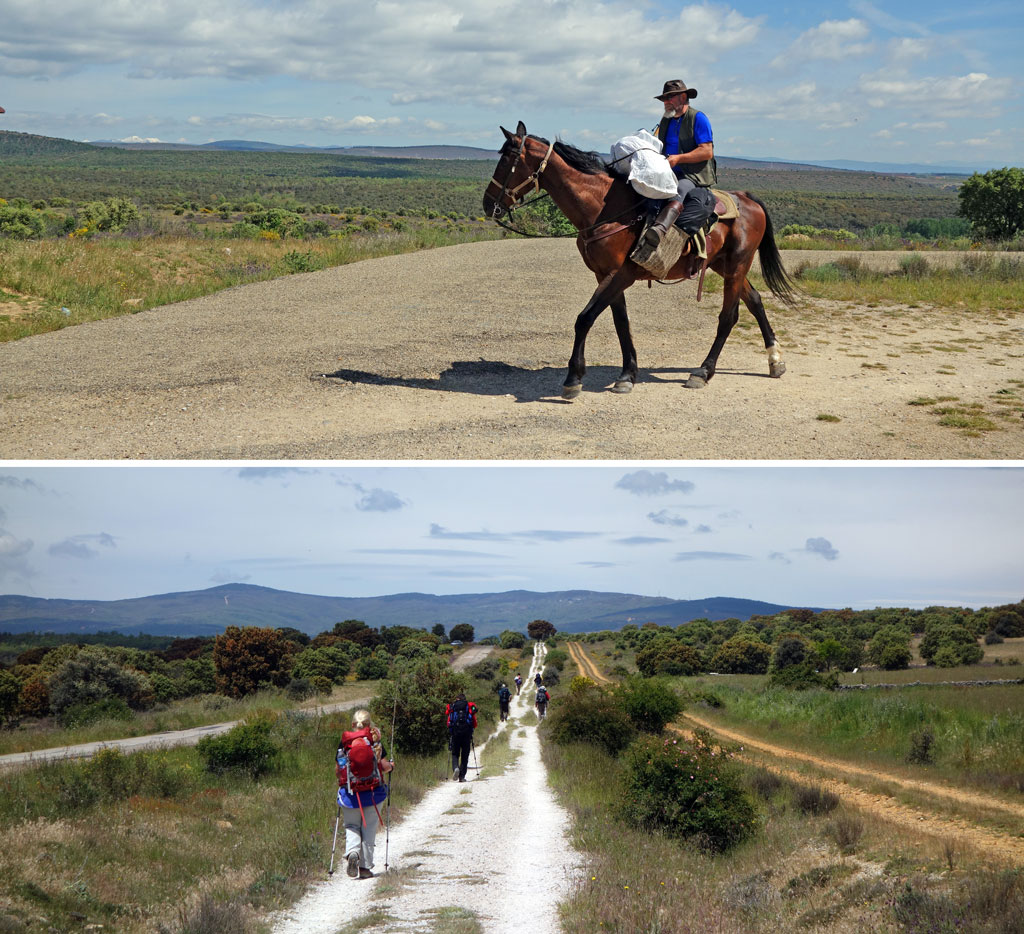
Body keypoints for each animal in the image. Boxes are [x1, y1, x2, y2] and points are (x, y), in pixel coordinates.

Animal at [481, 121, 798, 397]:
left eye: (507, 160)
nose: (487, 203)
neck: (605, 209)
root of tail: (748, 199)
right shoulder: (605, 274)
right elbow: (621, 322)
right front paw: (627, 374)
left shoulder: (620, 273)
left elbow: (585, 318)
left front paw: (573, 378)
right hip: (725, 265)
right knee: (755, 300)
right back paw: (775, 360)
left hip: (736, 265)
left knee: (728, 316)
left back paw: (703, 372)